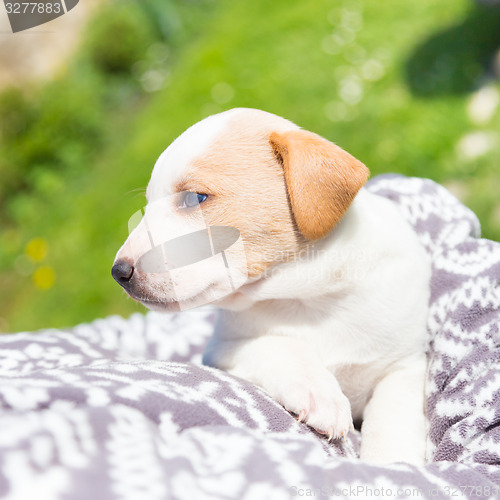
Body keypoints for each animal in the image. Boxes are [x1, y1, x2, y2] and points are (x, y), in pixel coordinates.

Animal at [112, 108, 430, 464]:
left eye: (195, 198)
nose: (118, 271)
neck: (304, 298)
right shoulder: (224, 349)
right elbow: (279, 345)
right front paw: (319, 393)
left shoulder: (403, 363)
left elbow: (393, 415)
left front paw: (394, 464)